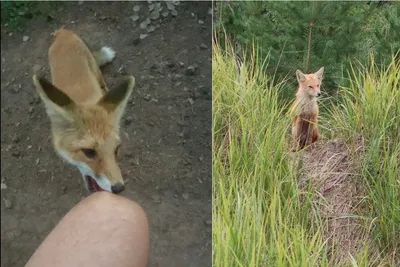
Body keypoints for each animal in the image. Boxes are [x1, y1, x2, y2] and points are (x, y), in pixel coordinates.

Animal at [32, 28, 136, 196]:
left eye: (116, 149)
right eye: (89, 152)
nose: (119, 188)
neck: (82, 100)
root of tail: (63, 32)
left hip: (94, 68)